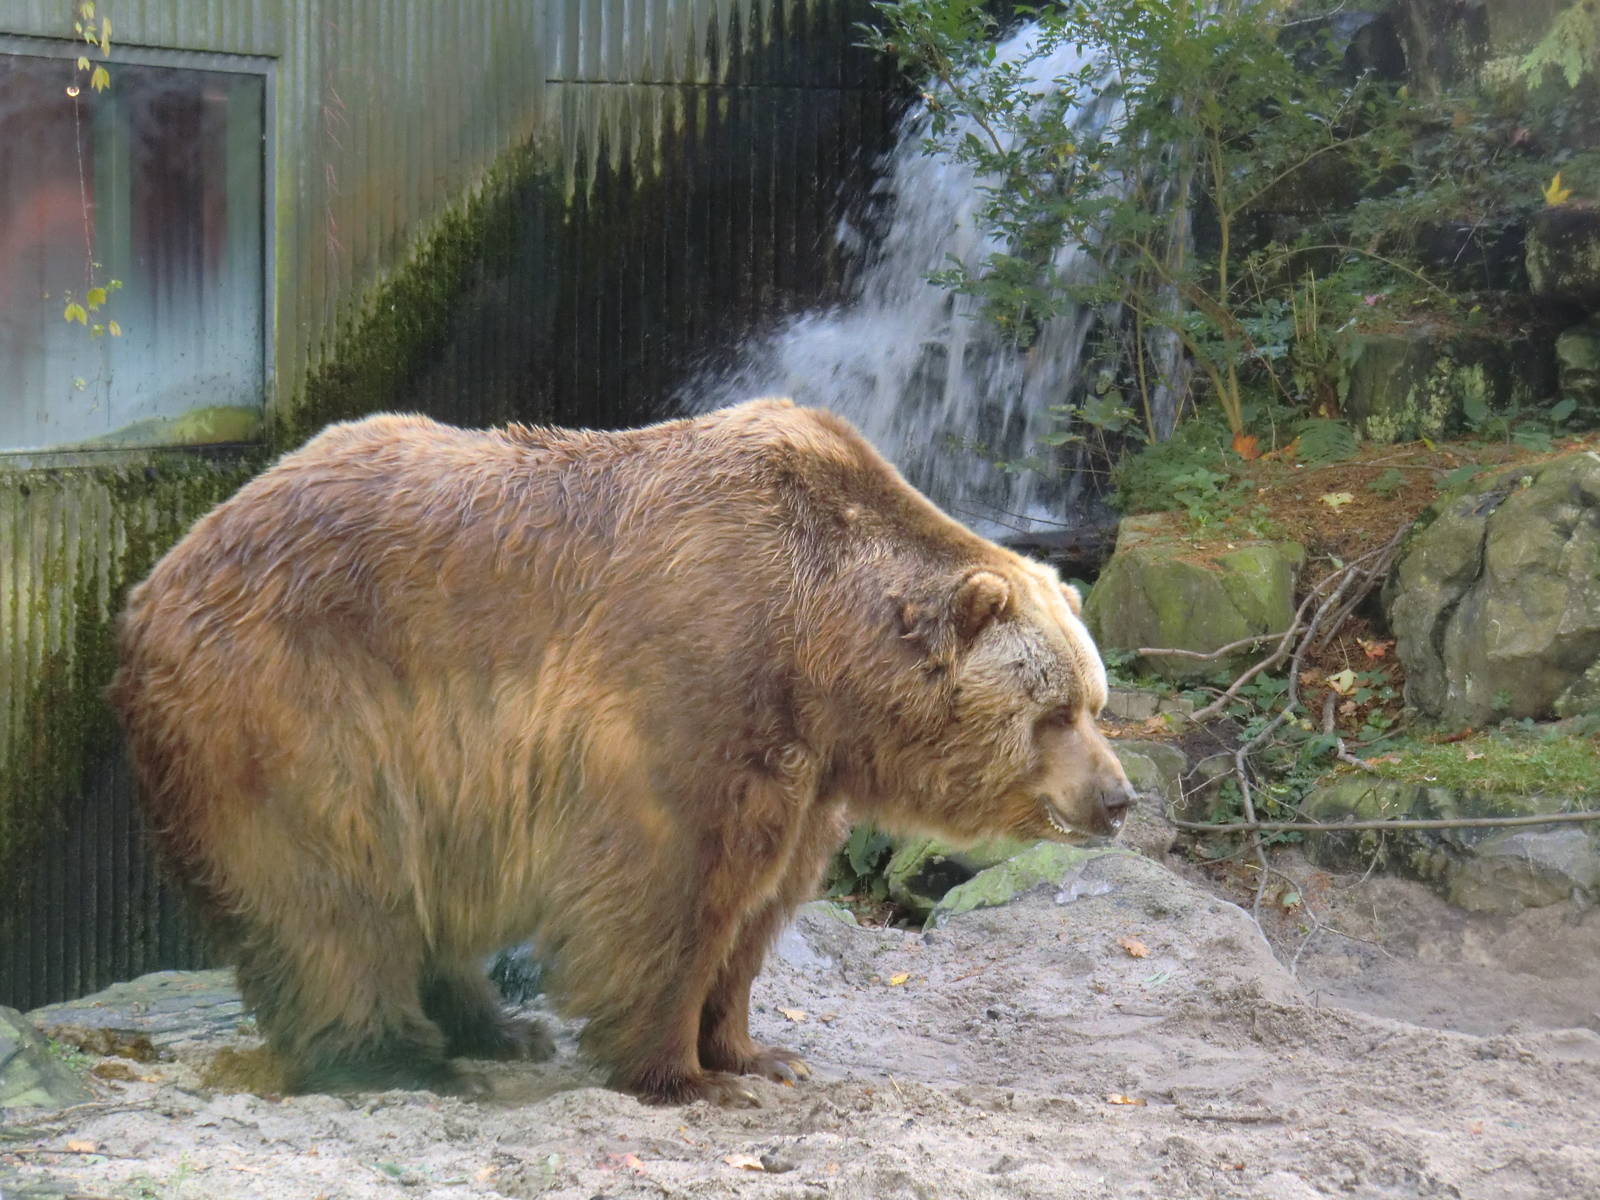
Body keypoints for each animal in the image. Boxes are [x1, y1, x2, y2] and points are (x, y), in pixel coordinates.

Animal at [109, 398, 1136, 1104]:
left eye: (1095, 701)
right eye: (1053, 712)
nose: (1118, 798)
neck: (819, 652)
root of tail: (157, 576)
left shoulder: (804, 767)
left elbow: (758, 906)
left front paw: (758, 1051)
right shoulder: (693, 681)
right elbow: (668, 885)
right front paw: (682, 1072)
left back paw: (496, 1029)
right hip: (299, 709)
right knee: (336, 898)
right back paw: (403, 1058)